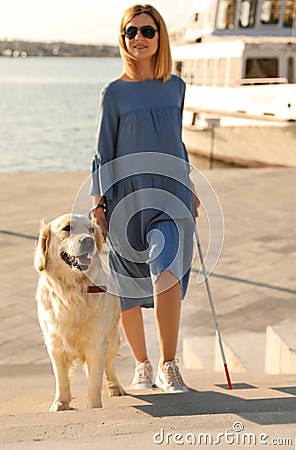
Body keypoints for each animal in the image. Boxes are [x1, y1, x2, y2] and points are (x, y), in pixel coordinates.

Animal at [34, 214, 125, 412]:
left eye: (91, 229)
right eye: (67, 228)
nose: (89, 241)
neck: (73, 291)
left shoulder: (97, 344)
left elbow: (94, 381)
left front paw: (94, 407)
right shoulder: (54, 344)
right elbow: (61, 379)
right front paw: (61, 403)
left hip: (113, 336)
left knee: (110, 364)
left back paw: (116, 387)